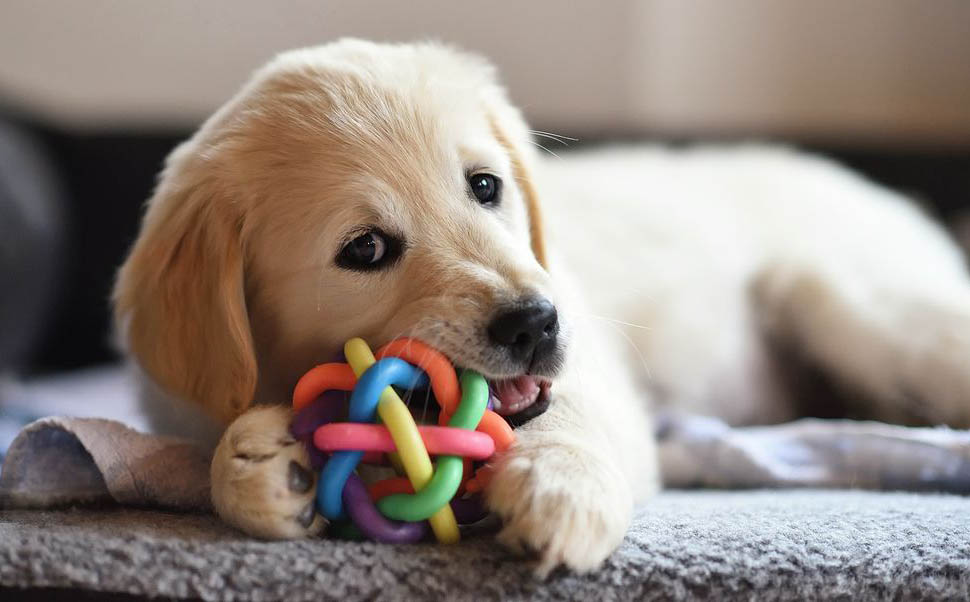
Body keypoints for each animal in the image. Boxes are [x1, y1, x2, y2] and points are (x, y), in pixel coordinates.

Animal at [115, 38, 970, 572]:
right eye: (365, 249)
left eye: (485, 185)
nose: (535, 323)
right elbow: (212, 454)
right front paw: (260, 464)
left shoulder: (594, 370)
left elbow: (567, 417)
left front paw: (561, 490)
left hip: (849, 304)